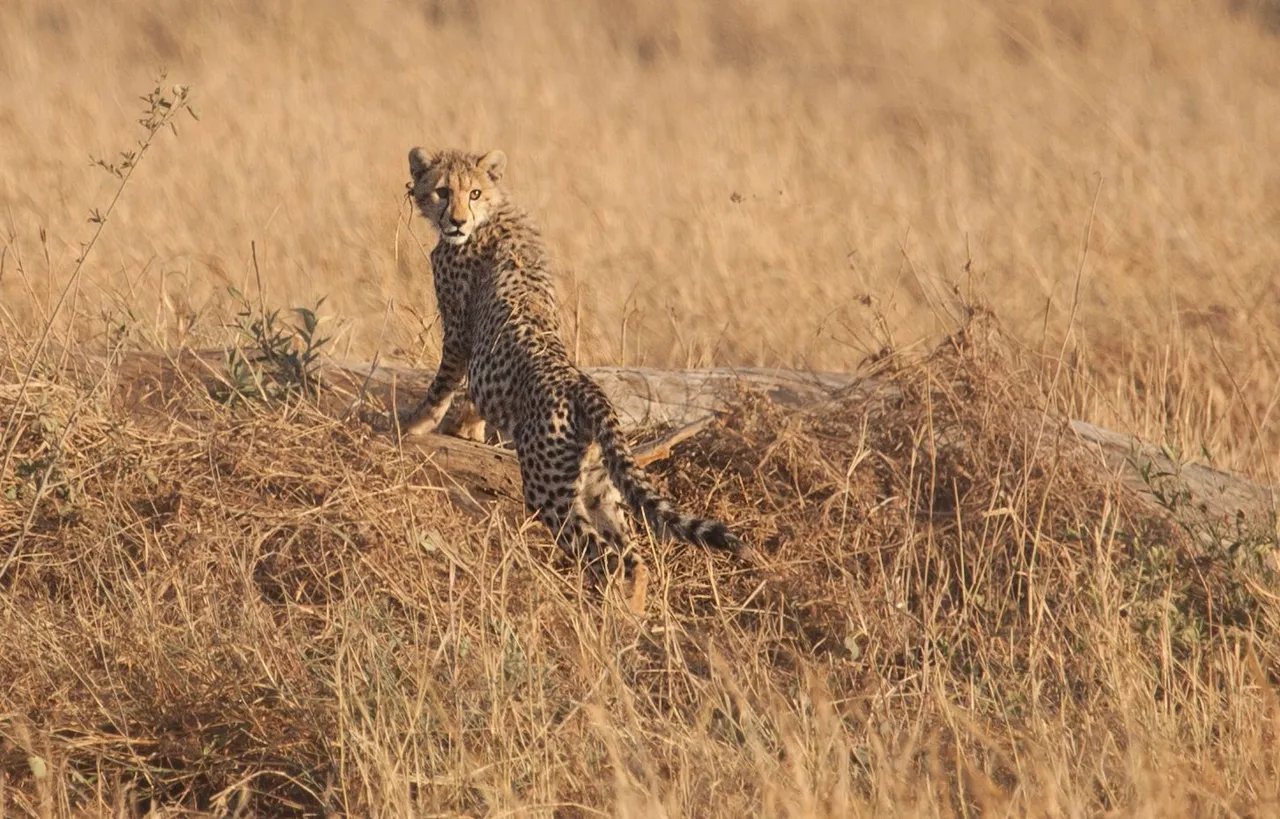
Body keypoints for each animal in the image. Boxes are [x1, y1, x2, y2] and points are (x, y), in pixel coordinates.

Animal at [396, 148, 742, 583]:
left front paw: (412, 423)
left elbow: (441, 386)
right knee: (634, 561)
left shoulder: (458, 333)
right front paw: (467, 431)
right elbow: (472, 398)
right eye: (443, 191)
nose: (456, 221)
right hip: (598, 486)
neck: (493, 213)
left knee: (604, 558)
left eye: (473, 192)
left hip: (548, 488)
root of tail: (586, 389)